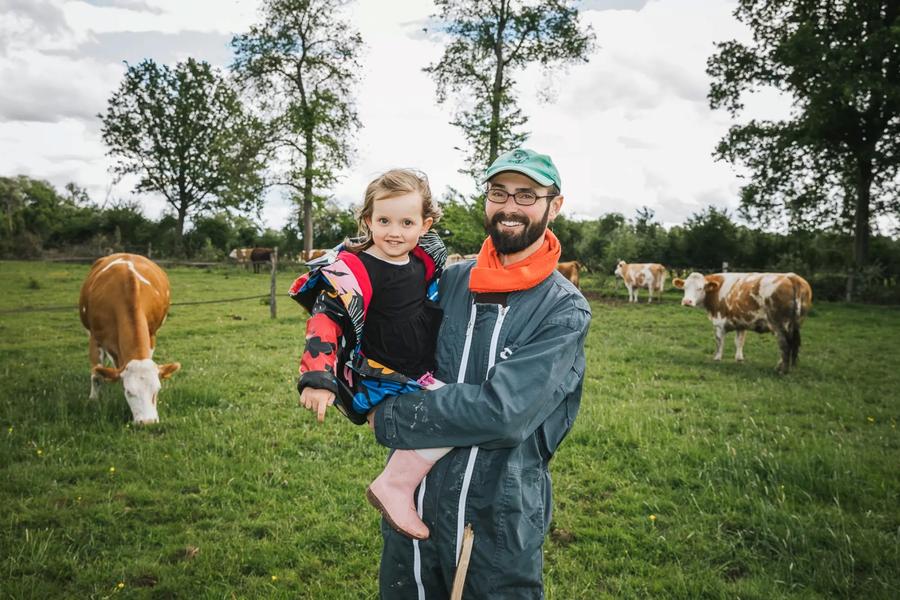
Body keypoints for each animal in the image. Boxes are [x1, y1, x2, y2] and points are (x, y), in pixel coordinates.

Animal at [79, 253, 181, 422]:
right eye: (128, 391)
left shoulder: (151, 335)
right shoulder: (95, 338)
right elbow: (96, 375)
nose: (148, 423)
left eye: (157, 389)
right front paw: (93, 399)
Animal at [676, 274, 816, 376]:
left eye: (700, 288)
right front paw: (739, 359)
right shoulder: (741, 323)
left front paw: (717, 358)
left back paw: (782, 370)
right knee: (791, 345)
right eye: (684, 288)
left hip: (780, 325)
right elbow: (739, 341)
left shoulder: (719, 323)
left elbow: (719, 342)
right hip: (795, 325)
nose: (687, 301)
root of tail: (791, 277)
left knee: (785, 346)